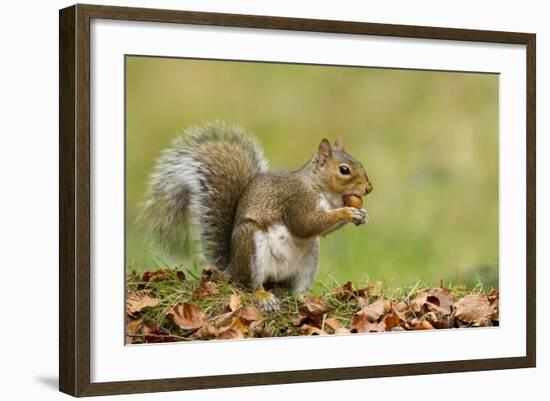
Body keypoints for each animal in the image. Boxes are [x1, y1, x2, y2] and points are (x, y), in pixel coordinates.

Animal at [139, 122, 376, 310]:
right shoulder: (296, 199)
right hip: (251, 245)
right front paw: (348, 212)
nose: (369, 188)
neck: (321, 189)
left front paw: (361, 214)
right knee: (249, 284)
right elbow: (306, 225)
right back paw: (263, 296)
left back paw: (304, 298)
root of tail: (232, 267)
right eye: (344, 170)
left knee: (295, 289)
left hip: (309, 259)